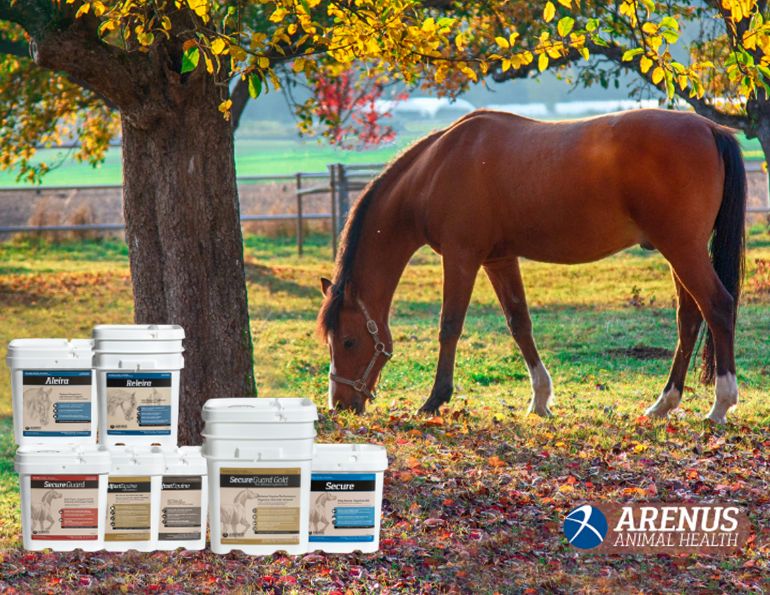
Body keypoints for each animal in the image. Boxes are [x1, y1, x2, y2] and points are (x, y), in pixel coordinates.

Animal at [317, 109, 746, 423]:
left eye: (349, 340)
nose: (341, 404)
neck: (435, 169)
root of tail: (710, 127)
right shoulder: (499, 259)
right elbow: (519, 323)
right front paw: (540, 400)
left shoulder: (461, 258)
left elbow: (449, 327)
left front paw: (434, 400)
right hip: (677, 253)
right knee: (689, 318)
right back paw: (663, 404)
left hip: (683, 250)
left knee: (718, 307)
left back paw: (720, 405)